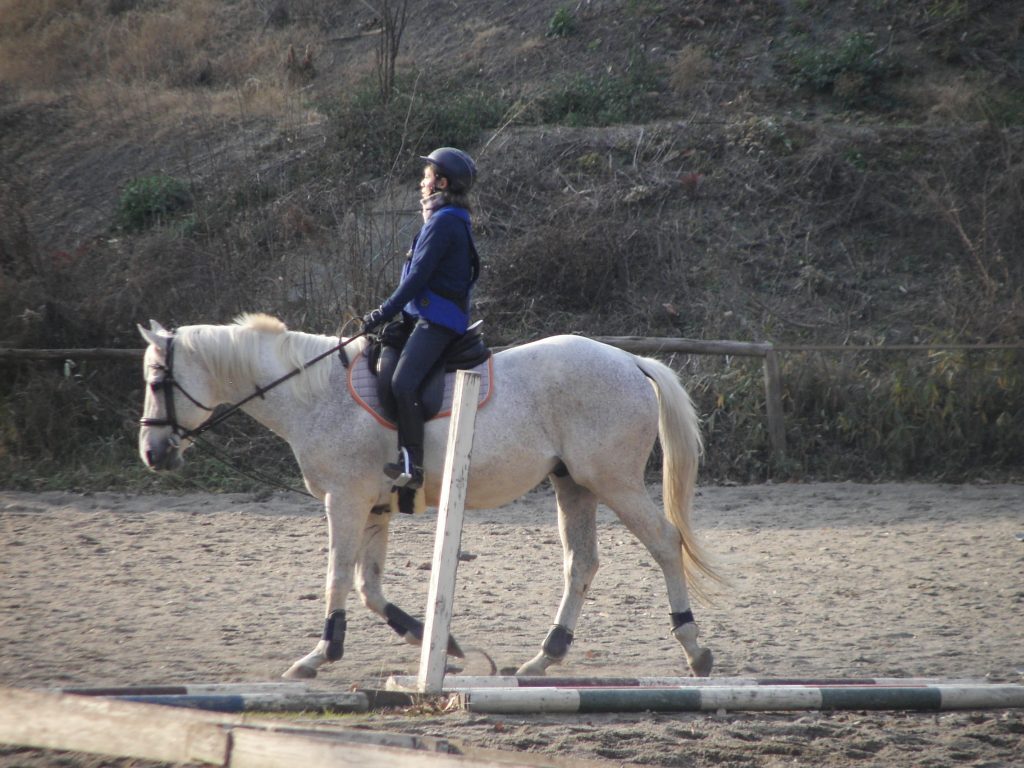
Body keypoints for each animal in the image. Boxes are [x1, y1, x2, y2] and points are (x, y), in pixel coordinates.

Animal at [137, 313, 719, 680]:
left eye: (157, 380)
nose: (152, 453)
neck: (316, 395)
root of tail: (630, 361)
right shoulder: (374, 506)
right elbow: (368, 587)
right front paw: (445, 645)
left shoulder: (344, 500)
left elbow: (337, 577)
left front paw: (319, 655)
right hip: (572, 483)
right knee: (582, 562)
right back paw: (543, 658)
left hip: (612, 480)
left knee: (665, 543)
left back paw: (694, 650)